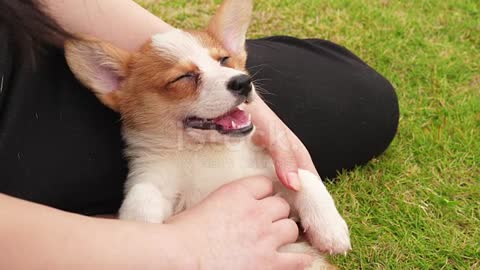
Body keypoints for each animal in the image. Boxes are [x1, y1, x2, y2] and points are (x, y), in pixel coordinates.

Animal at [64, 0, 348, 268]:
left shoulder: (269, 172)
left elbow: (304, 178)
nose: (243, 82)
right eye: (184, 77)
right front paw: (141, 231)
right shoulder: (153, 179)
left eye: (224, 60)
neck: (206, 153)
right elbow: (142, 195)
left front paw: (331, 229)